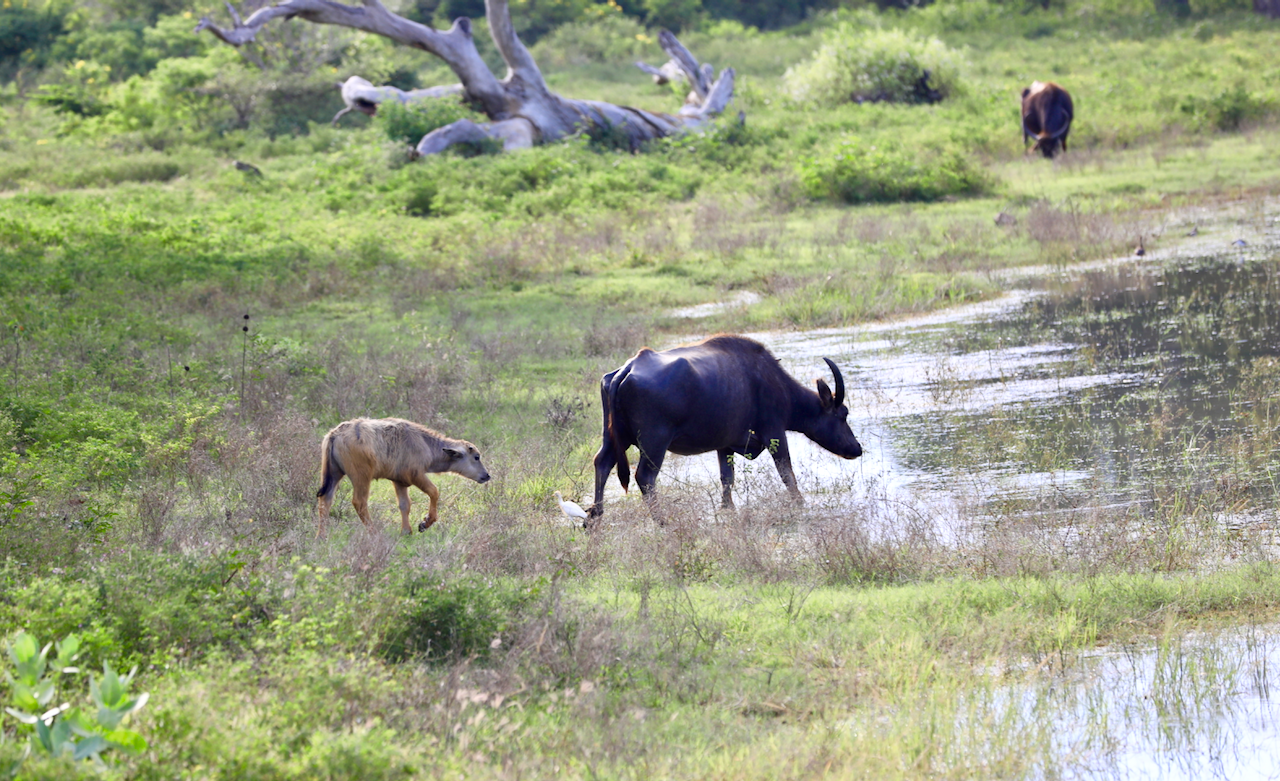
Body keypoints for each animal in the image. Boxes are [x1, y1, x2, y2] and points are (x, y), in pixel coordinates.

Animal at [314, 414, 488, 535]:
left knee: (325, 500)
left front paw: (406, 531)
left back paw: (321, 536)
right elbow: (434, 492)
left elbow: (405, 505)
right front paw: (425, 523)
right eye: (476, 457)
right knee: (359, 502)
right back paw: (374, 533)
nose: (487, 476)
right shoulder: (416, 475)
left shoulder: (399, 482)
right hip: (361, 477)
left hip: (333, 475)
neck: (424, 443)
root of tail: (335, 434)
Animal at [586, 330, 865, 519]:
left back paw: (595, 517)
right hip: (655, 442)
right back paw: (662, 521)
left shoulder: (726, 443)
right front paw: (800, 504)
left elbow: (726, 477)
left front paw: (726, 508)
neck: (773, 383)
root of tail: (628, 369)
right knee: (644, 476)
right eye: (843, 414)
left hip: (614, 437)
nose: (857, 448)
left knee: (602, 463)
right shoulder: (774, 432)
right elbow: (787, 472)